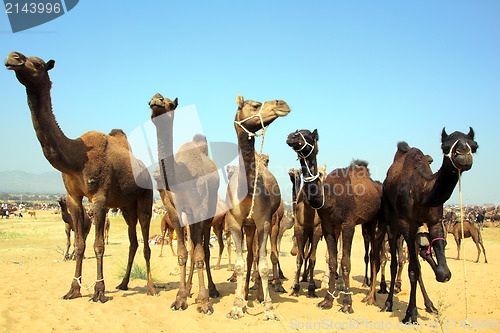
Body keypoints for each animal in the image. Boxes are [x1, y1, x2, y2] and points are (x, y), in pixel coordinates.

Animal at [4, 51, 155, 300]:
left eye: (38, 64)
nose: (13, 57)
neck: (77, 158)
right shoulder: (73, 197)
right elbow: (79, 244)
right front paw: (73, 289)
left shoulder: (100, 197)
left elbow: (98, 244)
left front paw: (99, 291)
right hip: (125, 206)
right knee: (132, 241)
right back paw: (123, 283)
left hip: (145, 198)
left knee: (144, 238)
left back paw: (151, 287)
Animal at [148, 93, 219, 314]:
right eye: (152, 100)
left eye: (171, 104)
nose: (156, 100)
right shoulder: (174, 211)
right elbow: (182, 253)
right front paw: (180, 298)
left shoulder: (201, 207)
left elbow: (199, 254)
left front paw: (204, 302)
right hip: (190, 215)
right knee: (192, 245)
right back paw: (188, 290)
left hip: (209, 209)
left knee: (204, 249)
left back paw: (212, 290)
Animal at [226, 94, 292, 320]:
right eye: (255, 105)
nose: (282, 103)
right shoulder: (235, 222)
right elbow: (239, 265)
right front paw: (237, 305)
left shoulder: (263, 221)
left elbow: (263, 265)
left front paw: (269, 308)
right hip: (248, 226)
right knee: (249, 257)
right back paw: (246, 292)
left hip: (260, 225)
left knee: (259, 256)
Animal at [286, 128, 382, 312]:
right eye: (296, 131)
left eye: (307, 135)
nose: (290, 137)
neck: (329, 198)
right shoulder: (328, 226)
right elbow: (331, 261)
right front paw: (327, 301)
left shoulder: (348, 225)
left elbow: (345, 262)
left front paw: (347, 304)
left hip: (375, 222)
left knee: (375, 256)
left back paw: (371, 297)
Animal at [376, 126, 478, 322]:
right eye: (445, 146)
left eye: (474, 145)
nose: (463, 154)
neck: (421, 191)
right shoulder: (407, 224)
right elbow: (413, 270)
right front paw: (411, 313)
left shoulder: (435, 222)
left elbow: (442, 272)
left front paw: (428, 304)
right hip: (391, 223)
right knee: (393, 262)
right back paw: (388, 303)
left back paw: (429, 304)